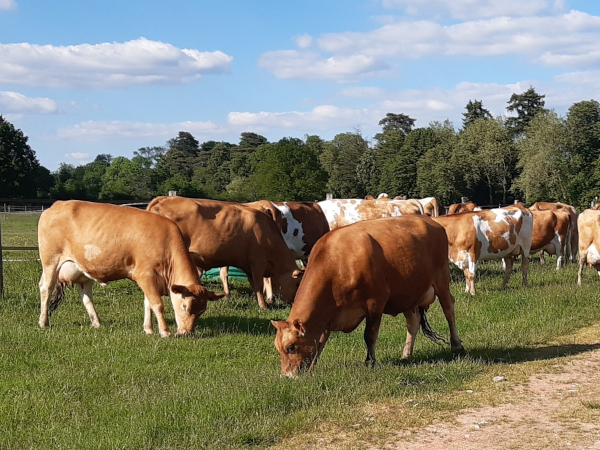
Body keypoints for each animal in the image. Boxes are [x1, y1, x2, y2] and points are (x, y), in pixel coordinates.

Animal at [37, 201, 225, 338]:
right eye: (185, 306)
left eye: (202, 310)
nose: (187, 332)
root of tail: (57, 204)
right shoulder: (145, 275)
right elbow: (157, 304)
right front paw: (164, 331)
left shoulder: (152, 280)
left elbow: (148, 304)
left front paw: (148, 329)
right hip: (50, 261)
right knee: (46, 288)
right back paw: (43, 322)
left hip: (82, 271)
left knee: (86, 296)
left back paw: (96, 322)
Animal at [146, 197, 304, 310]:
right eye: (297, 284)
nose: (294, 303)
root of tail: (163, 199)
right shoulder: (257, 262)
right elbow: (259, 285)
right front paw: (264, 306)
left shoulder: (248, 266)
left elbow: (254, 285)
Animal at [270, 214, 464, 376]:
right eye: (278, 348)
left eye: (290, 347)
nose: (286, 376)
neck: (337, 264)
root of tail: (429, 220)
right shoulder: (325, 317)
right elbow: (319, 342)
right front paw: (312, 369)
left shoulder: (375, 303)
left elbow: (369, 335)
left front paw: (370, 361)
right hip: (407, 294)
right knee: (413, 322)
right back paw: (406, 354)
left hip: (441, 279)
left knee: (449, 309)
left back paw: (456, 345)